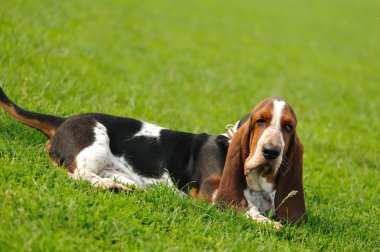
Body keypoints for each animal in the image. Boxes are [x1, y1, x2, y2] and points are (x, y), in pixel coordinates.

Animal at [0, 87, 306, 228]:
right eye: (260, 121)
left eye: (288, 126)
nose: (271, 151)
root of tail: (63, 121)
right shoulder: (213, 190)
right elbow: (246, 207)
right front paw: (266, 222)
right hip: (96, 143)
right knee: (76, 173)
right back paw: (108, 186)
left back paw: (124, 186)